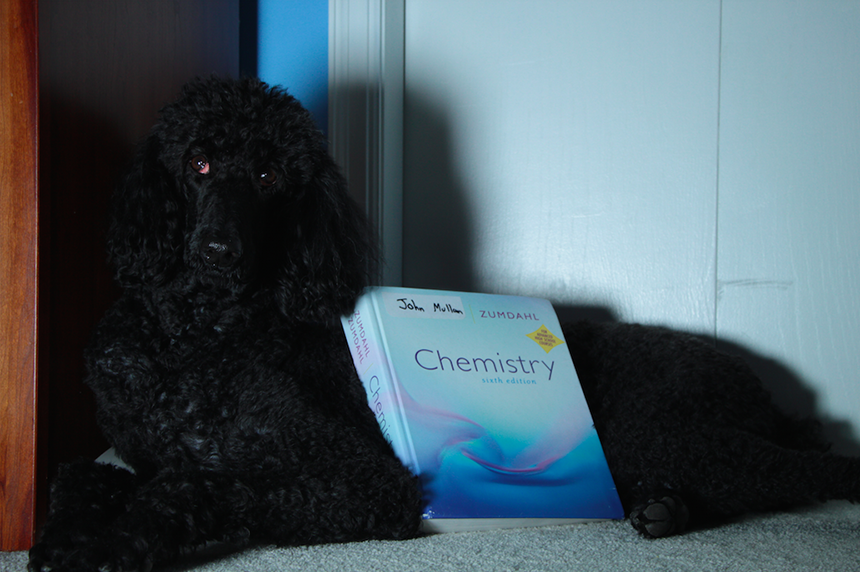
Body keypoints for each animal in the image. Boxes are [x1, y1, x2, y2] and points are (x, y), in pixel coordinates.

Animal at [30, 77, 856, 572]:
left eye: (269, 176)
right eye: (197, 163)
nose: (216, 251)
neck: (200, 336)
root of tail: (769, 392)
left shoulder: (360, 478)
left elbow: (203, 483)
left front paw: (114, 543)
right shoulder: (133, 451)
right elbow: (78, 475)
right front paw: (63, 534)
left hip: (653, 429)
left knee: (803, 474)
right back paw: (661, 509)